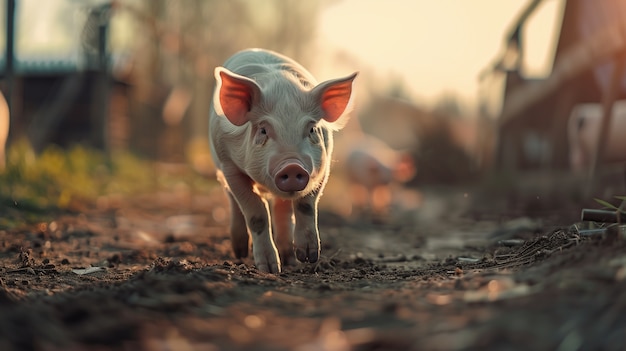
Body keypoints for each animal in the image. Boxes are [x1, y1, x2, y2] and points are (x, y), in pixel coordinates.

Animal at [208, 48, 356, 276]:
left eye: (312, 129)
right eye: (263, 130)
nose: (292, 166)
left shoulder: (324, 166)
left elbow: (306, 205)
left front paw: (308, 257)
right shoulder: (229, 166)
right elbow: (256, 213)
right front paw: (270, 270)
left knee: (282, 208)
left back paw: (290, 260)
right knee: (233, 201)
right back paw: (241, 252)